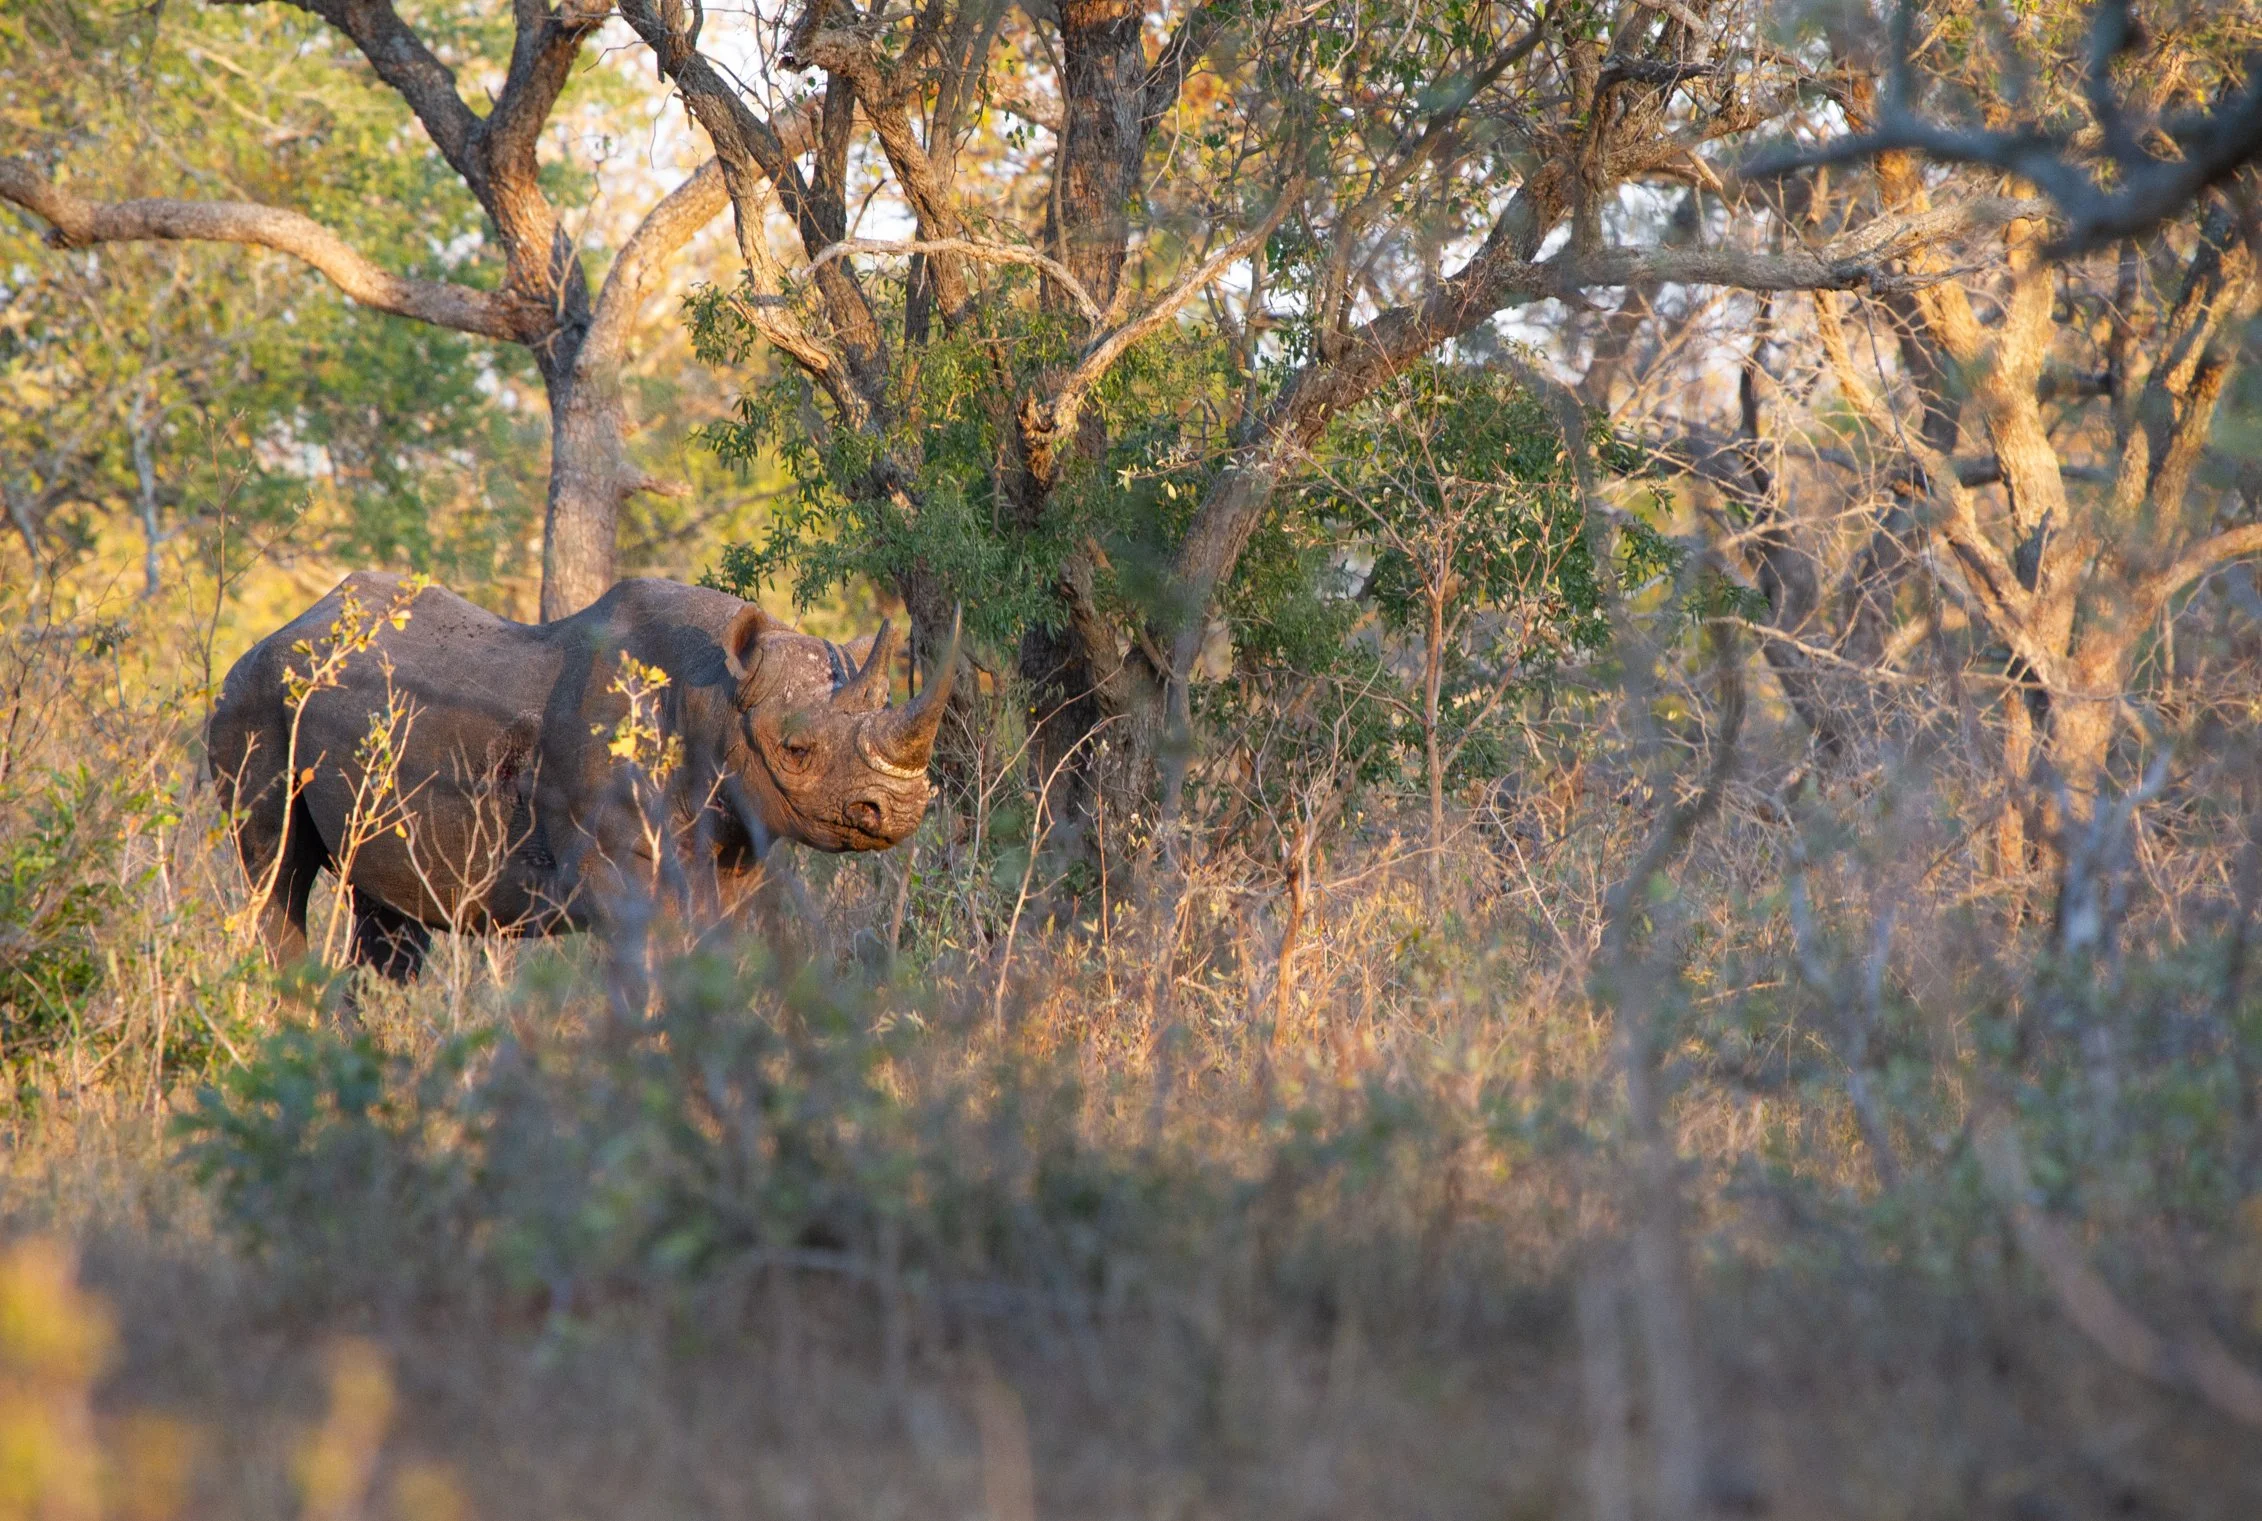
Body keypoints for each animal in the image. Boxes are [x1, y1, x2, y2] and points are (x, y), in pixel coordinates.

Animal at [206, 572, 956, 980]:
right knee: (277, 870)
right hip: (251, 698)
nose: (897, 809)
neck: (717, 692)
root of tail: (267, 638)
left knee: (386, 908)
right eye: (796, 749)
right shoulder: (617, 863)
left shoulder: (734, 851)